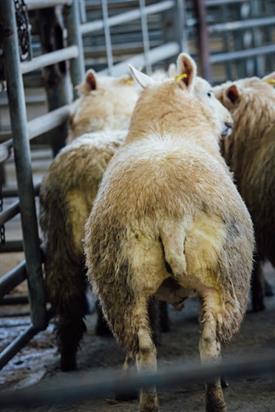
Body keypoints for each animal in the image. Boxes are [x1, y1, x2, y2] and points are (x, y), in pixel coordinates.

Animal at [85, 54, 256, 412]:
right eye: (208, 93)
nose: (229, 121)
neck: (166, 127)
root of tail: (169, 213)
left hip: (120, 282)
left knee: (143, 346)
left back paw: (145, 401)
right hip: (225, 275)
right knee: (209, 341)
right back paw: (216, 398)